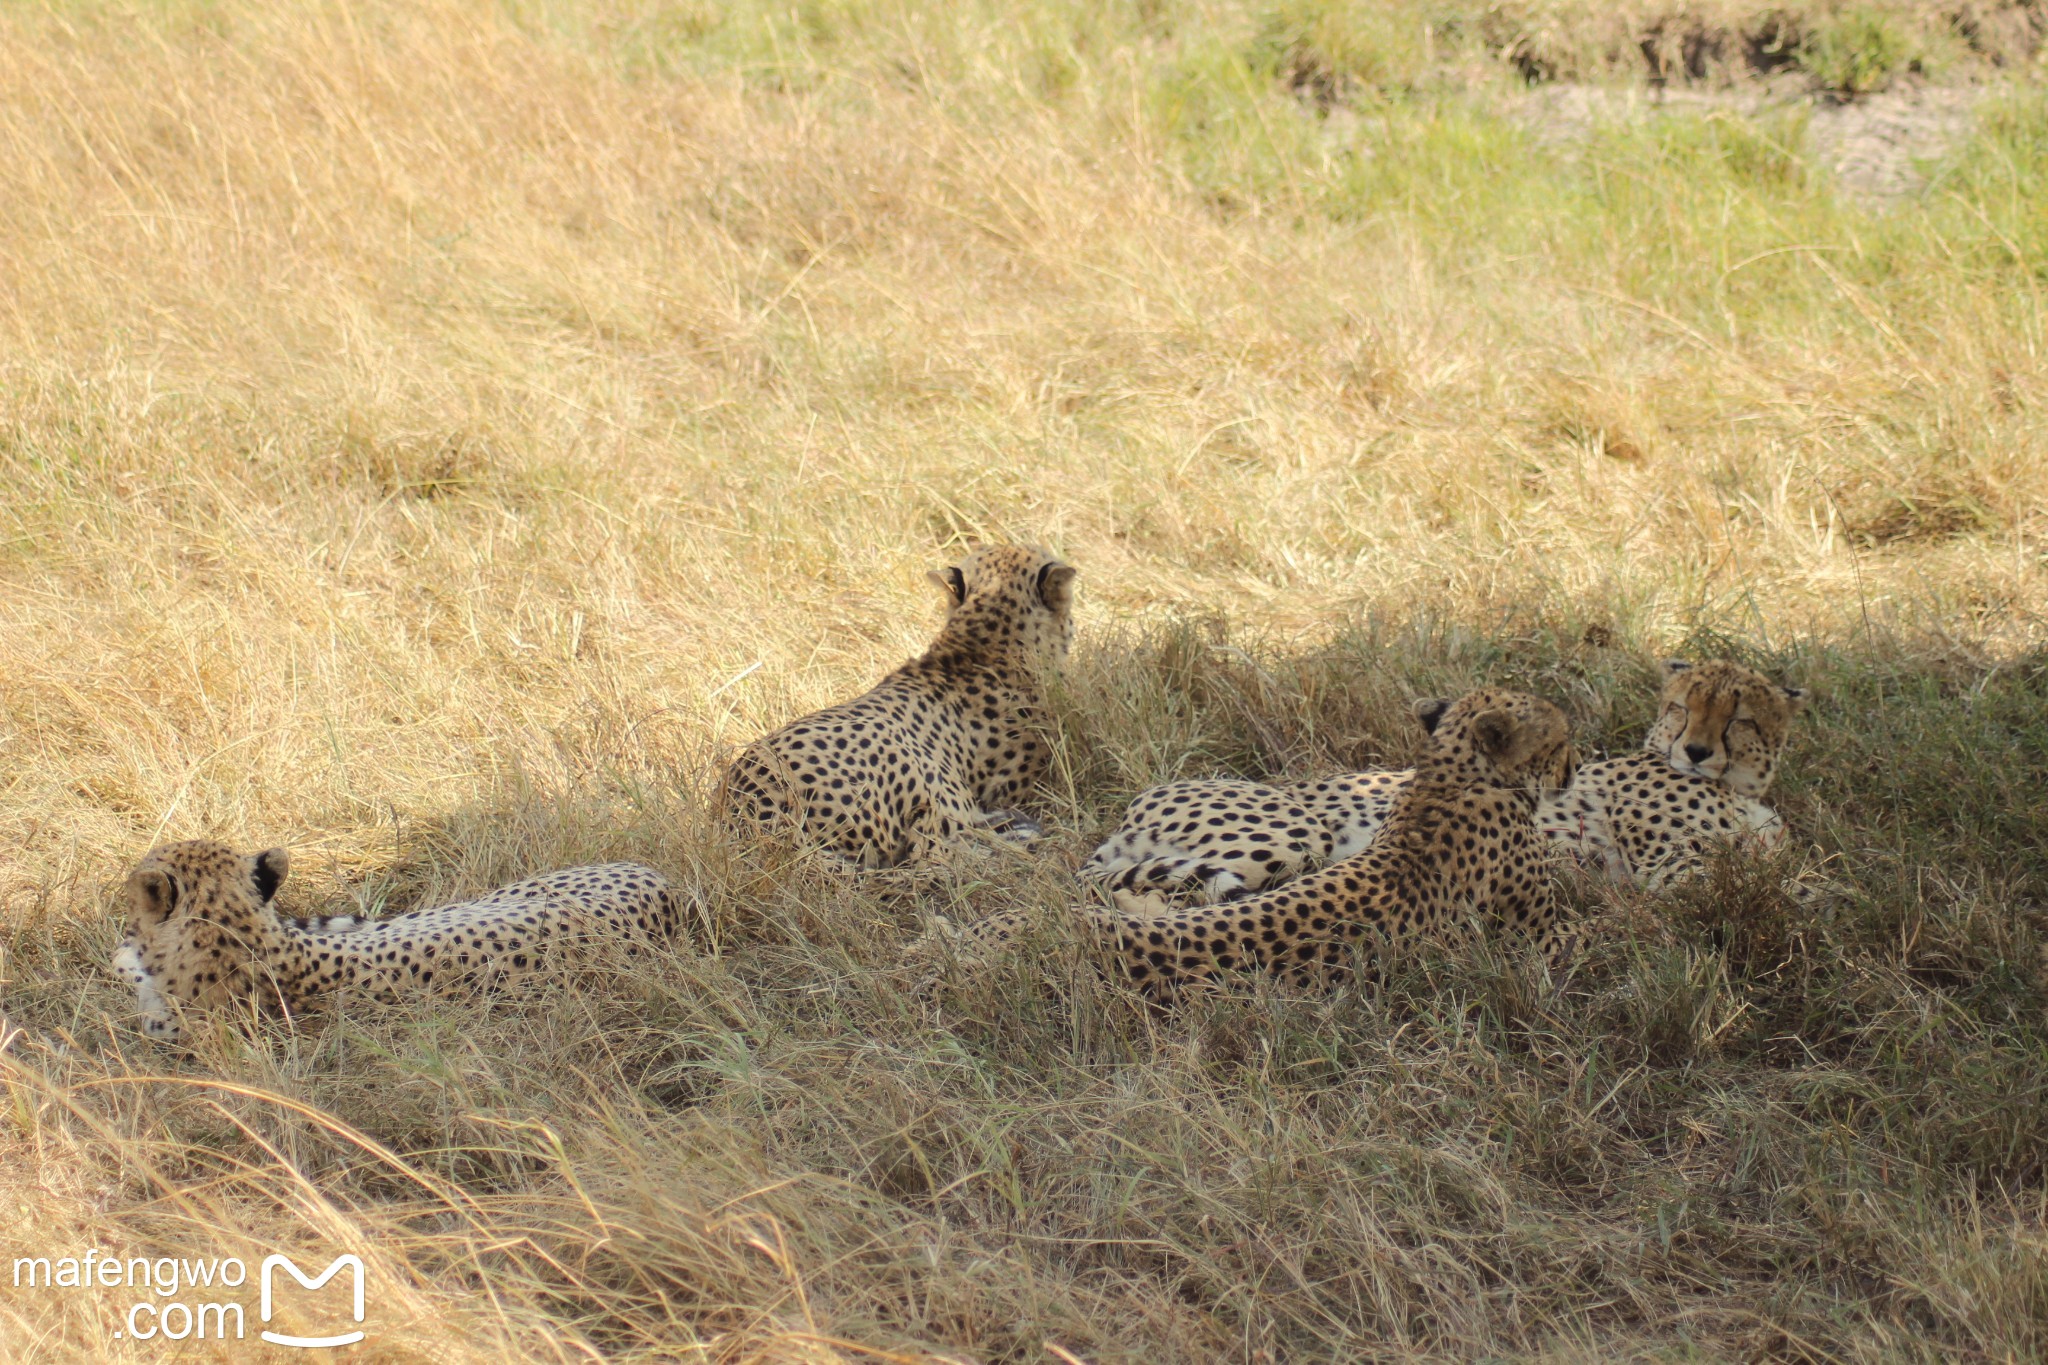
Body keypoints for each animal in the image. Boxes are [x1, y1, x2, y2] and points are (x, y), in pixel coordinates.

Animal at [933, 687, 1581, 998]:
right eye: (1562, 739)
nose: (1576, 768)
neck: (1450, 780)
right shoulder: (1542, 939)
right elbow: (1582, 939)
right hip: (1295, 837)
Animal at [1081, 658, 1802, 908]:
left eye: (1738, 715)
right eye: (1683, 706)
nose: (1695, 749)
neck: (1742, 788)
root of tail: (1132, 808)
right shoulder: (1671, 865)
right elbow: (1791, 892)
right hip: (1292, 835)